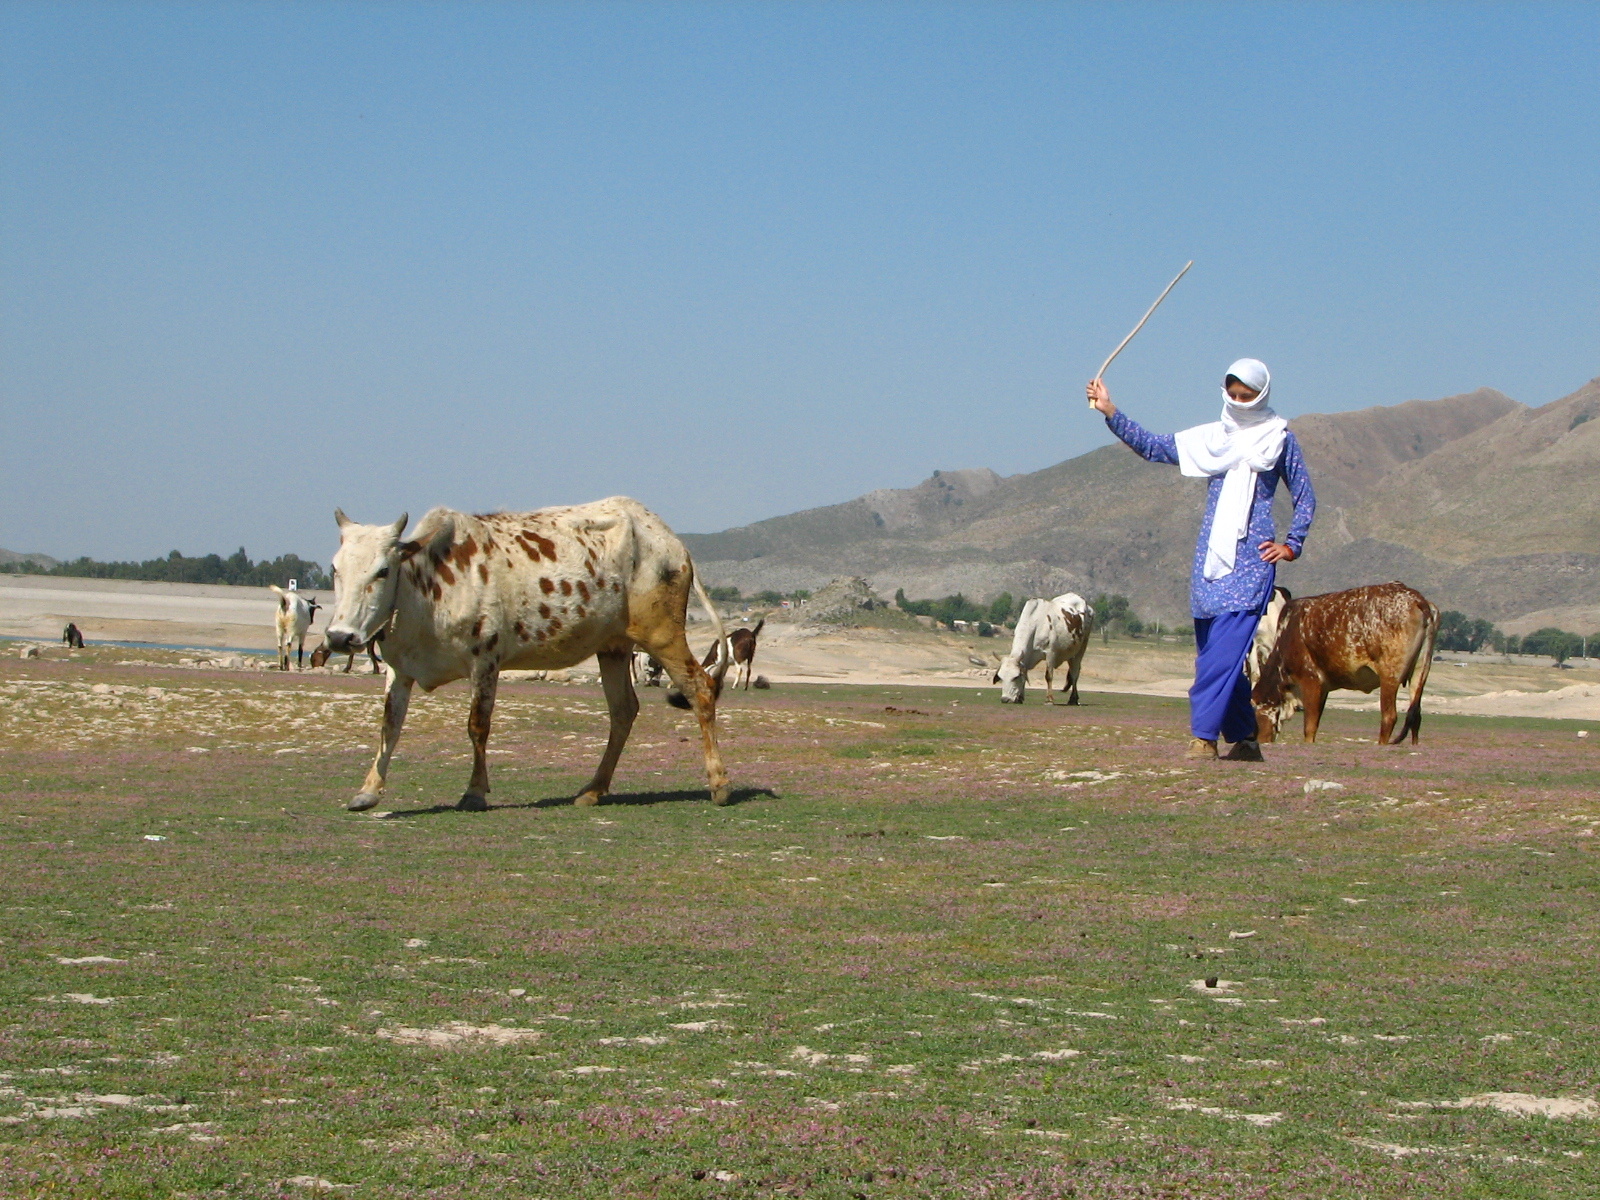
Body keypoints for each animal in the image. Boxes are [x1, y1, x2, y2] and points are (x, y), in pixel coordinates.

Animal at [322, 497, 733, 813]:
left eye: (382, 570)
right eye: (334, 568)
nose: (340, 637)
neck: (427, 586)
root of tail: (670, 540)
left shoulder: (485, 661)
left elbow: (477, 726)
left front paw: (474, 792)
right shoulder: (399, 669)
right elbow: (389, 726)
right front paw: (368, 792)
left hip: (662, 635)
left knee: (700, 689)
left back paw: (719, 784)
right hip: (613, 647)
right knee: (623, 711)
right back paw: (593, 790)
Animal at [1251, 581, 1439, 745]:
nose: (1260, 740)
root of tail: (1418, 600)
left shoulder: (1311, 681)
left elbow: (1309, 727)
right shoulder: (1324, 688)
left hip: (1389, 677)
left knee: (1389, 717)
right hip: (1420, 672)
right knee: (1415, 717)